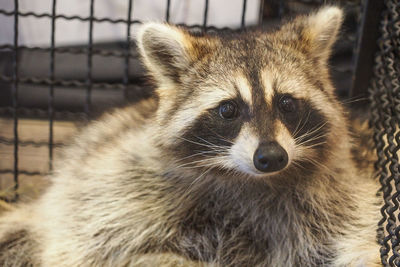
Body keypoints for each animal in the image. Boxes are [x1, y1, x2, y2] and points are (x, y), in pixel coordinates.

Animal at [0, 6, 382, 267]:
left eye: (286, 103)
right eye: (228, 110)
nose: (272, 157)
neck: (249, 180)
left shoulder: (332, 198)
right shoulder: (125, 185)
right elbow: (97, 236)